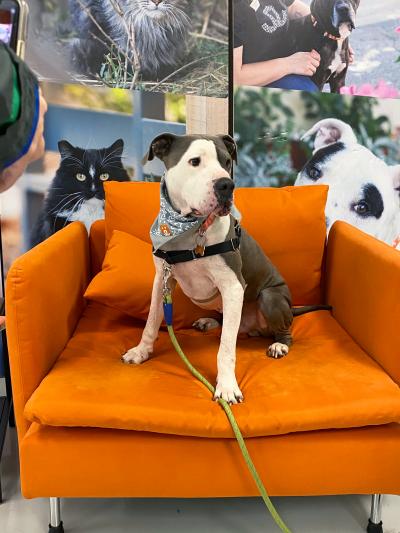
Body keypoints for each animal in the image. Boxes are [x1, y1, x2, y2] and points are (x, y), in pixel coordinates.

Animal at [122, 133, 328, 404]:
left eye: (227, 161)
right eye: (195, 161)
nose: (226, 185)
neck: (188, 229)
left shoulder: (232, 286)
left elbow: (226, 347)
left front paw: (227, 386)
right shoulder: (162, 280)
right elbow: (151, 321)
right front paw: (141, 351)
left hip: (270, 297)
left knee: (280, 329)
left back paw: (279, 345)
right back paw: (209, 322)